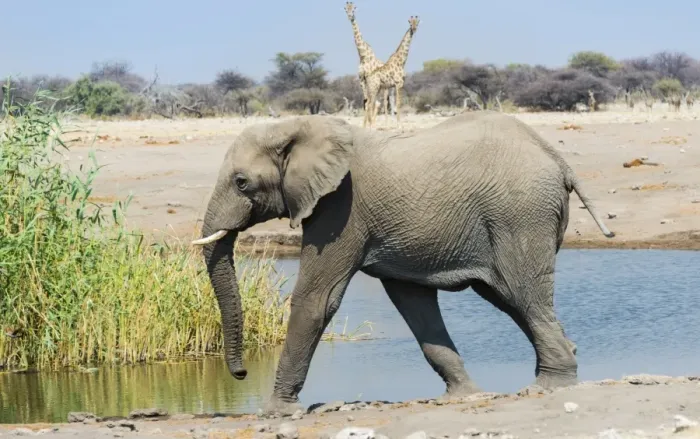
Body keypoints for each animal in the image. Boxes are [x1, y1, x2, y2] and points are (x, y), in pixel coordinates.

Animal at [192, 110, 614, 415]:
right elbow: (414, 304)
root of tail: (558, 160)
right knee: (510, 298)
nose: (242, 374)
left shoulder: (341, 209)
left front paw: (275, 411)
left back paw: (549, 387)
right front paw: (462, 396)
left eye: (242, 182)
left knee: (524, 294)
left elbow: (317, 299)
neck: (297, 126)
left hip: (520, 214)